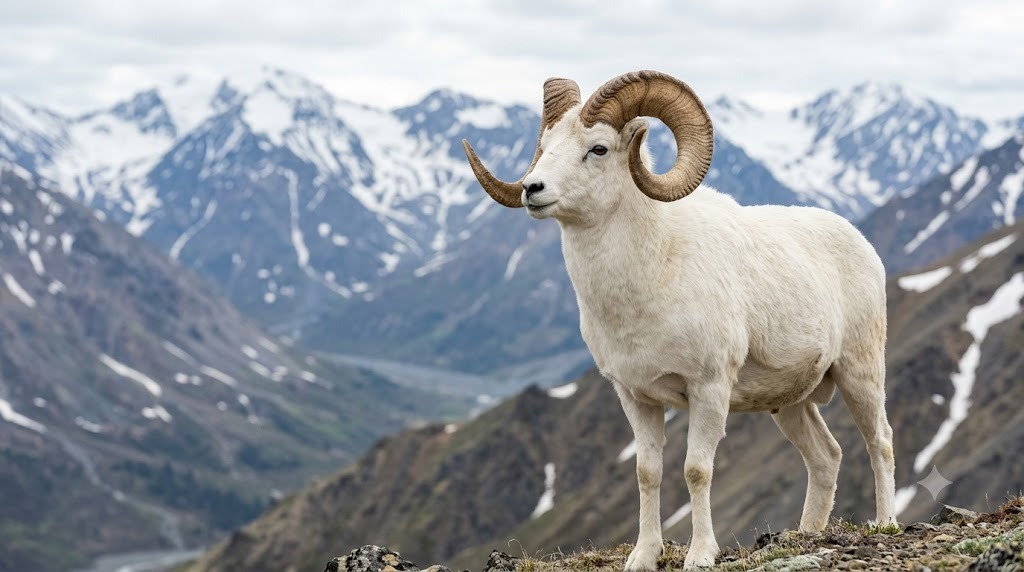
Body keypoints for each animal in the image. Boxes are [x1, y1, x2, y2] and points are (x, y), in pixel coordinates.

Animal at [462, 71, 897, 570]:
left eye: (598, 149)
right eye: (546, 144)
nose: (533, 190)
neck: (650, 277)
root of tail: (861, 242)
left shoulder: (708, 389)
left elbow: (696, 470)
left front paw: (700, 554)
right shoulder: (636, 398)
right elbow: (648, 473)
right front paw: (643, 556)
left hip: (860, 374)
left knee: (880, 441)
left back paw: (885, 523)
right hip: (790, 404)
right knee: (826, 457)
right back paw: (805, 534)